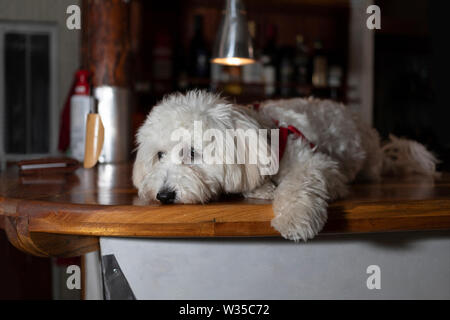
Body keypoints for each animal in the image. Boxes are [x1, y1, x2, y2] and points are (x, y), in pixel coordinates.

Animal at [134, 90, 440, 240]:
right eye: (159, 155)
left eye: (193, 152)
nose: (163, 195)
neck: (264, 133)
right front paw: (263, 188)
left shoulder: (319, 164)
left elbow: (299, 185)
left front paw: (295, 219)